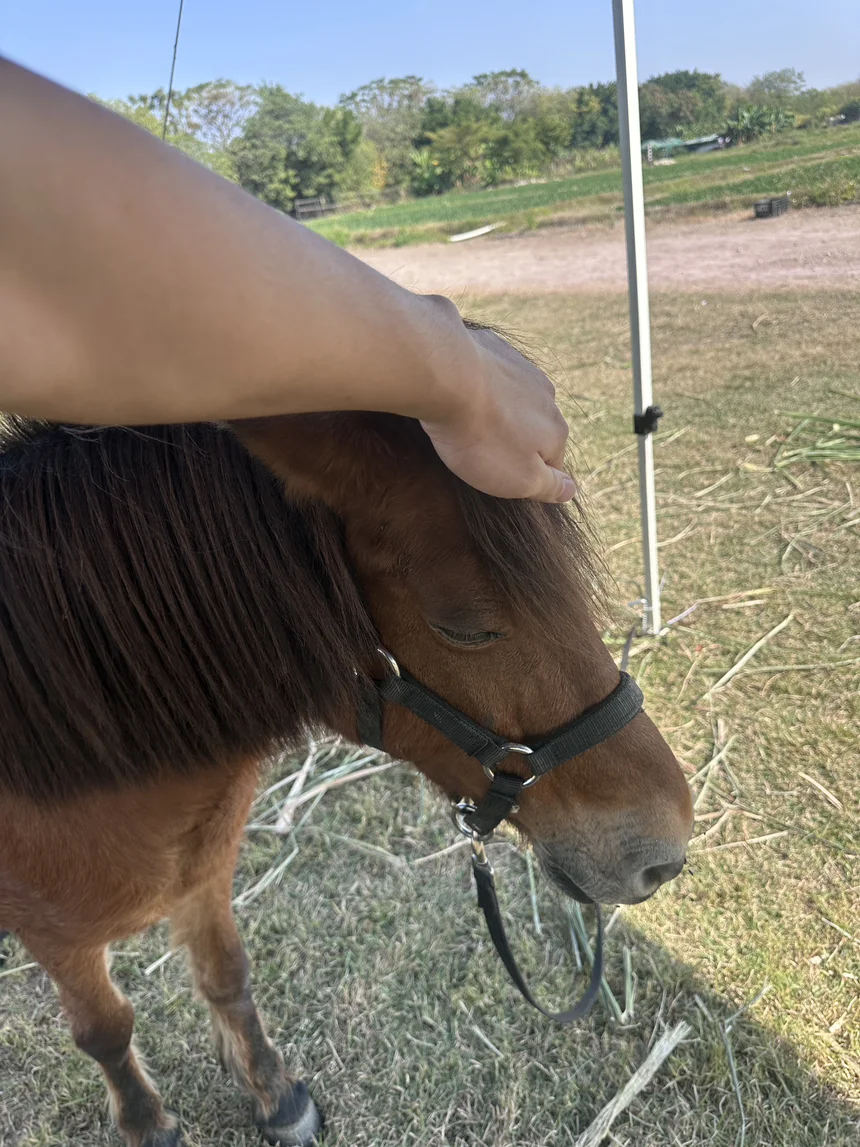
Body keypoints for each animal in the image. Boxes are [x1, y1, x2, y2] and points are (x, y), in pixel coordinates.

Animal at [0, 407, 693, 1147]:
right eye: (465, 630)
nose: (666, 844)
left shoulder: (204, 876)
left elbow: (227, 977)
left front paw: (273, 1093)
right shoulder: (57, 939)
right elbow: (106, 1030)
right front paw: (146, 1123)